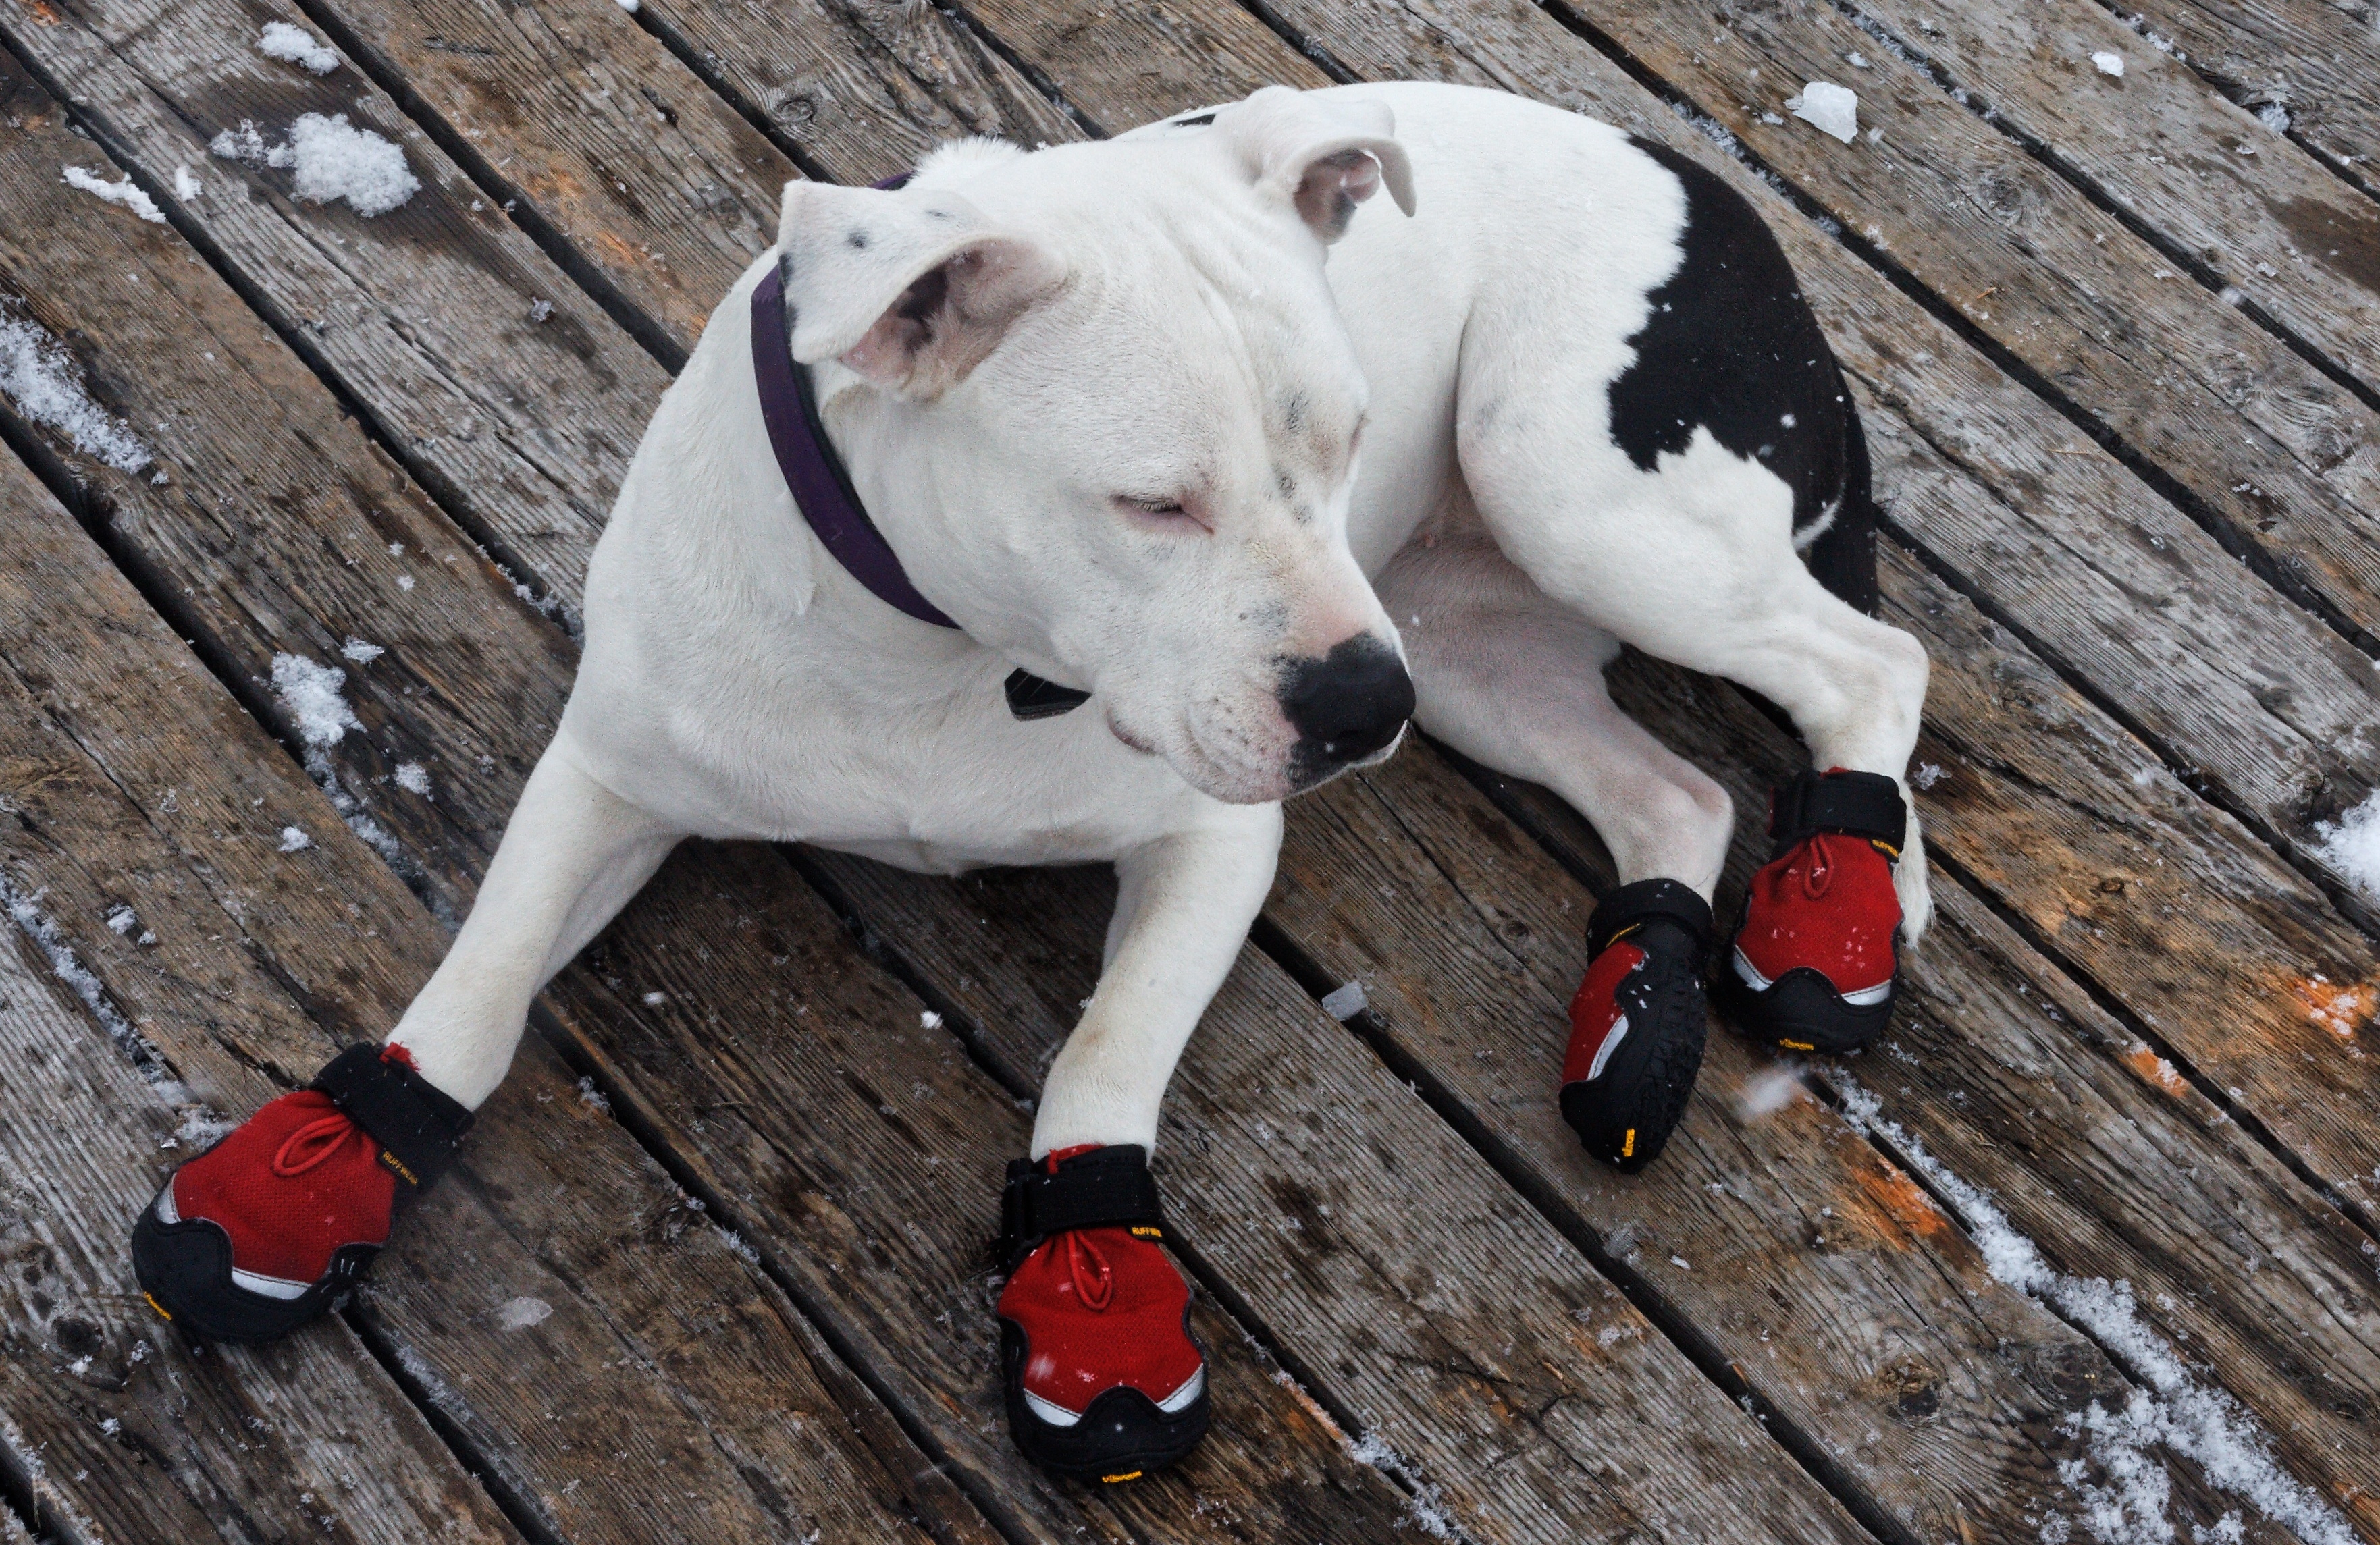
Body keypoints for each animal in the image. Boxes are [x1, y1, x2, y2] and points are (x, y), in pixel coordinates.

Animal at [135, 84, 1932, 1485]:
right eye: (1153, 503)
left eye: (1342, 437)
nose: (1361, 706)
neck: (933, 645)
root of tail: (1695, 174)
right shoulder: (612, 770)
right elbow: (483, 977)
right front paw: (320, 1158)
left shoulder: (1212, 846)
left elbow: (1104, 1054)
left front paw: (1094, 1280)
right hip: (1475, 643)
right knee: (1677, 796)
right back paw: (1641, 1025)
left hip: (1559, 503)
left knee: (1868, 664)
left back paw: (1836, 917)